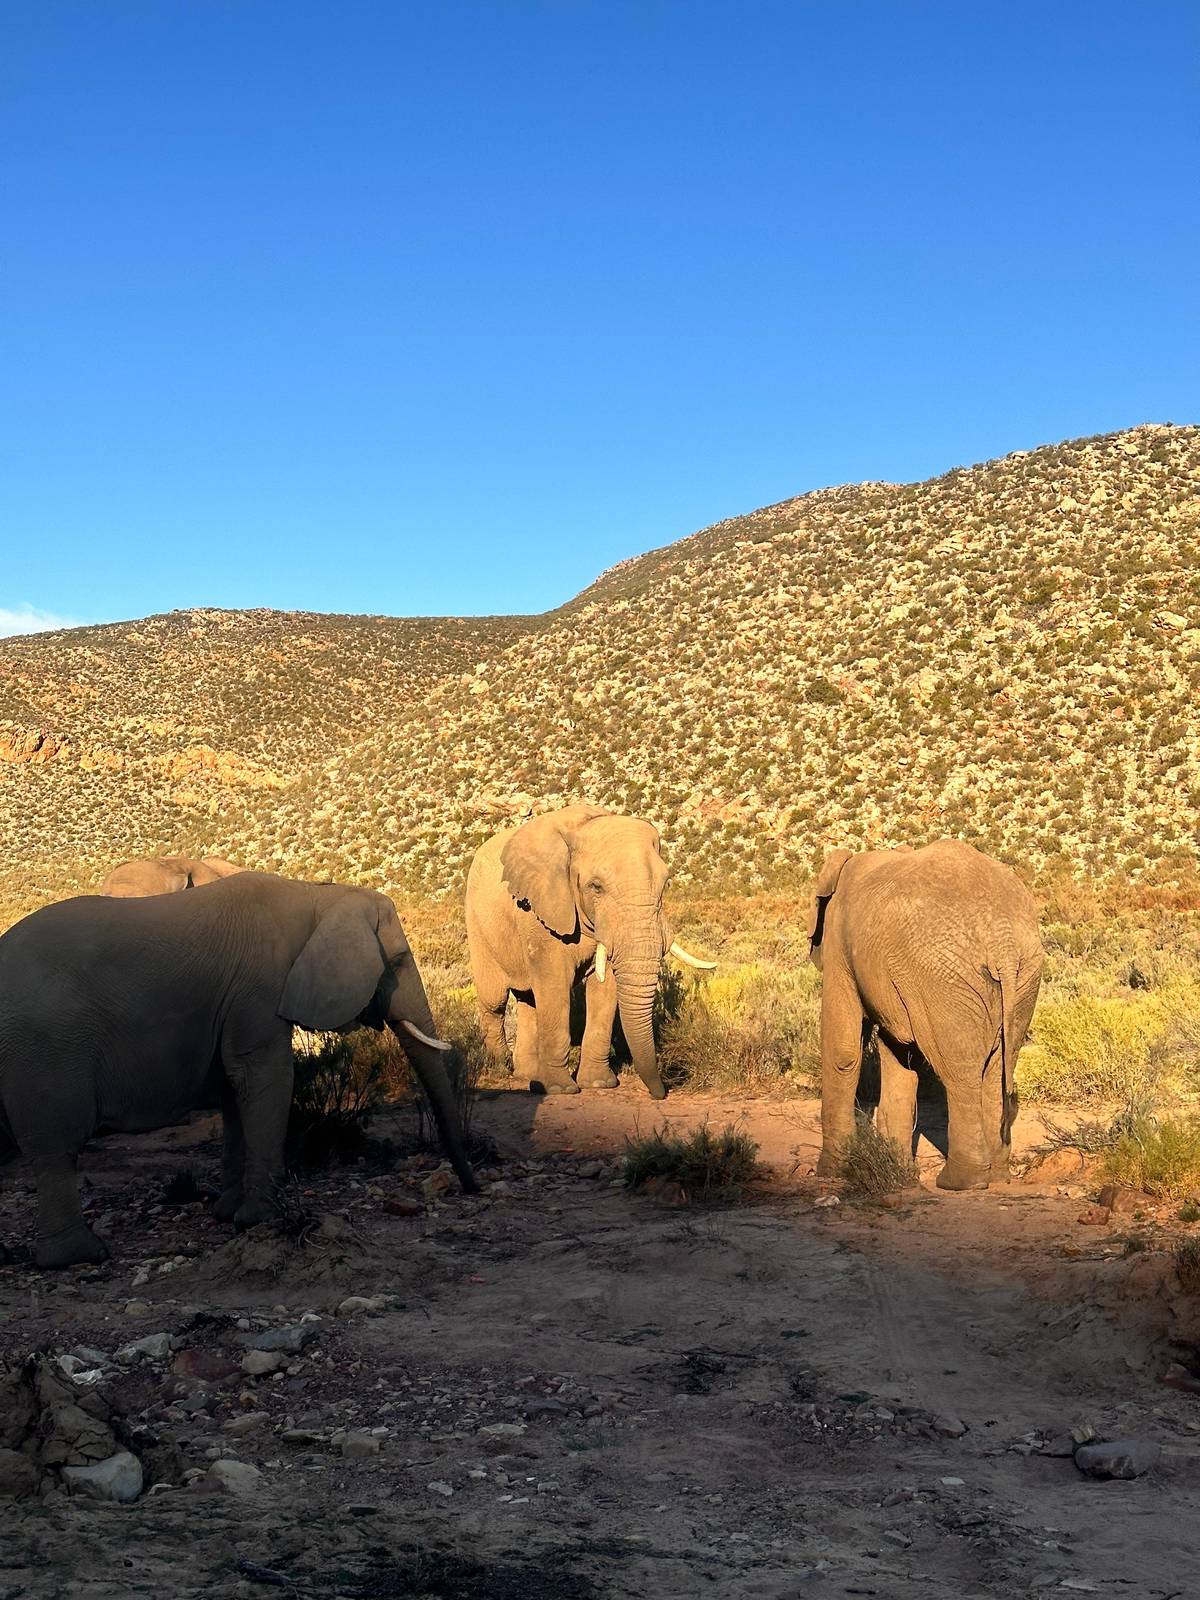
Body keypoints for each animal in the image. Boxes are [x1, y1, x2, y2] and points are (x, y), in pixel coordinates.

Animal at [0, 872, 478, 1268]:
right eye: (396, 963)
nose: (471, 1188)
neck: (316, 895)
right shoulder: (259, 989)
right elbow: (265, 1077)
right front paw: (261, 1219)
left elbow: (235, 1093)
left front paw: (228, 1213)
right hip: (45, 1047)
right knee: (57, 1145)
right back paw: (80, 1257)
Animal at [465, 803, 714, 1099]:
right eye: (596, 886)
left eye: (666, 883)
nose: (661, 1092)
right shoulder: (541, 910)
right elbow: (554, 985)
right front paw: (558, 1089)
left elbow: (605, 988)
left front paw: (597, 1084)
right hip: (477, 926)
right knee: (494, 1001)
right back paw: (502, 1069)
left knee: (527, 1000)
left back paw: (526, 1075)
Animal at [808, 839, 1044, 1190]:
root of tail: (1001, 939)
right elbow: (902, 1058)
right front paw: (901, 1174)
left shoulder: (839, 944)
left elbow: (843, 1051)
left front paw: (830, 1172)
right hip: (1023, 973)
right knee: (997, 1068)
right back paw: (997, 1176)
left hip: (943, 977)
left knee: (959, 1071)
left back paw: (959, 1182)